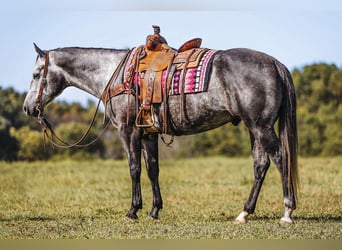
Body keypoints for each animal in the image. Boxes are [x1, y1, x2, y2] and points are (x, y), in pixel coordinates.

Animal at [22, 43, 298, 225]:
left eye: (36, 74)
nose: (27, 108)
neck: (116, 75)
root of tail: (275, 64)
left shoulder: (128, 131)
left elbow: (134, 168)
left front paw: (133, 210)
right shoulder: (149, 134)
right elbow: (152, 169)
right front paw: (155, 210)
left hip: (261, 126)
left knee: (279, 159)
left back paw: (287, 212)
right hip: (255, 128)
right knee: (260, 165)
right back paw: (244, 213)